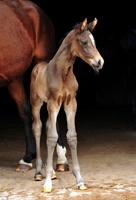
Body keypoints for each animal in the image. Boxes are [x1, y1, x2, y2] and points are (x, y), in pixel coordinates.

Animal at [30, 18, 104, 192]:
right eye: (84, 42)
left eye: (94, 41)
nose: (100, 62)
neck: (63, 73)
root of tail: (37, 66)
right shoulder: (52, 103)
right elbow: (51, 137)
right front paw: (47, 183)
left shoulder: (71, 103)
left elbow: (71, 136)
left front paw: (80, 180)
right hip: (37, 103)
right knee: (37, 127)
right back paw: (38, 173)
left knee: (47, 125)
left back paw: (52, 173)